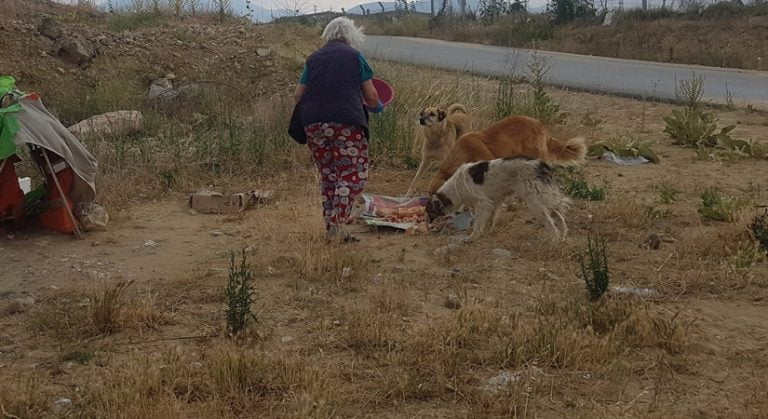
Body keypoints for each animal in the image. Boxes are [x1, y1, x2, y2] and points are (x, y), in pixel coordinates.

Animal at [426, 157, 568, 243]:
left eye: (429, 212)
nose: (428, 225)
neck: (456, 187)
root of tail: (542, 165)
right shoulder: (494, 202)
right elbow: (490, 219)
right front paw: (488, 230)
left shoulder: (483, 203)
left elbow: (478, 223)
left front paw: (472, 237)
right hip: (542, 200)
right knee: (559, 217)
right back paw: (563, 236)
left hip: (535, 203)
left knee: (551, 225)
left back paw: (552, 241)